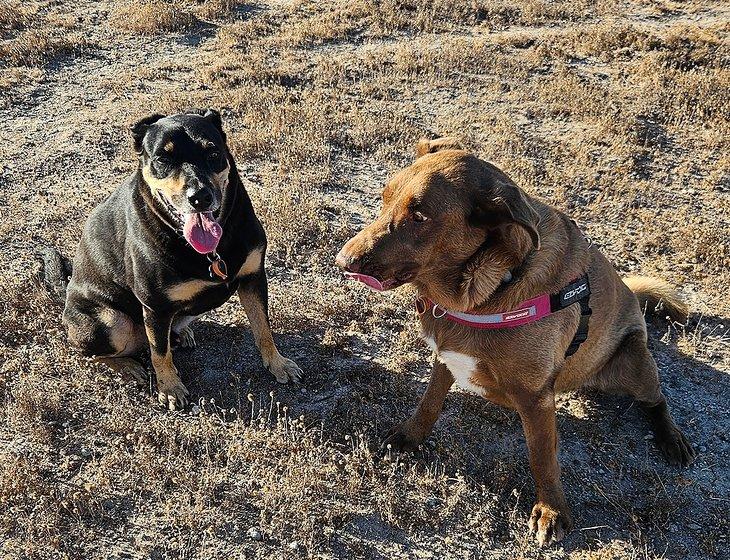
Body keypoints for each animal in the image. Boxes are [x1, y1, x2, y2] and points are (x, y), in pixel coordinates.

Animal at [42, 109, 302, 410]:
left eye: (213, 152)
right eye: (163, 159)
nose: (200, 197)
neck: (210, 250)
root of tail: (66, 295)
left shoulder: (254, 278)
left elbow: (263, 329)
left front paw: (277, 364)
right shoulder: (155, 307)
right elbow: (159, 353)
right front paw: (170, 388)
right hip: (111, 322)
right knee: (94, 353)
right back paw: (127, 366)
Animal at [332, 137, 692, 548]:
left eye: (420, 216)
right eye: (383, 197)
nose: (342, 261)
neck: (486, 291)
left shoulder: (537, 398)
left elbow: (543, 457)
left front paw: (551, 509)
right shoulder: (445, 358)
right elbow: (428, 403)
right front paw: (410, 436)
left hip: (634, 361)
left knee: (657, 399)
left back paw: (671, 437)